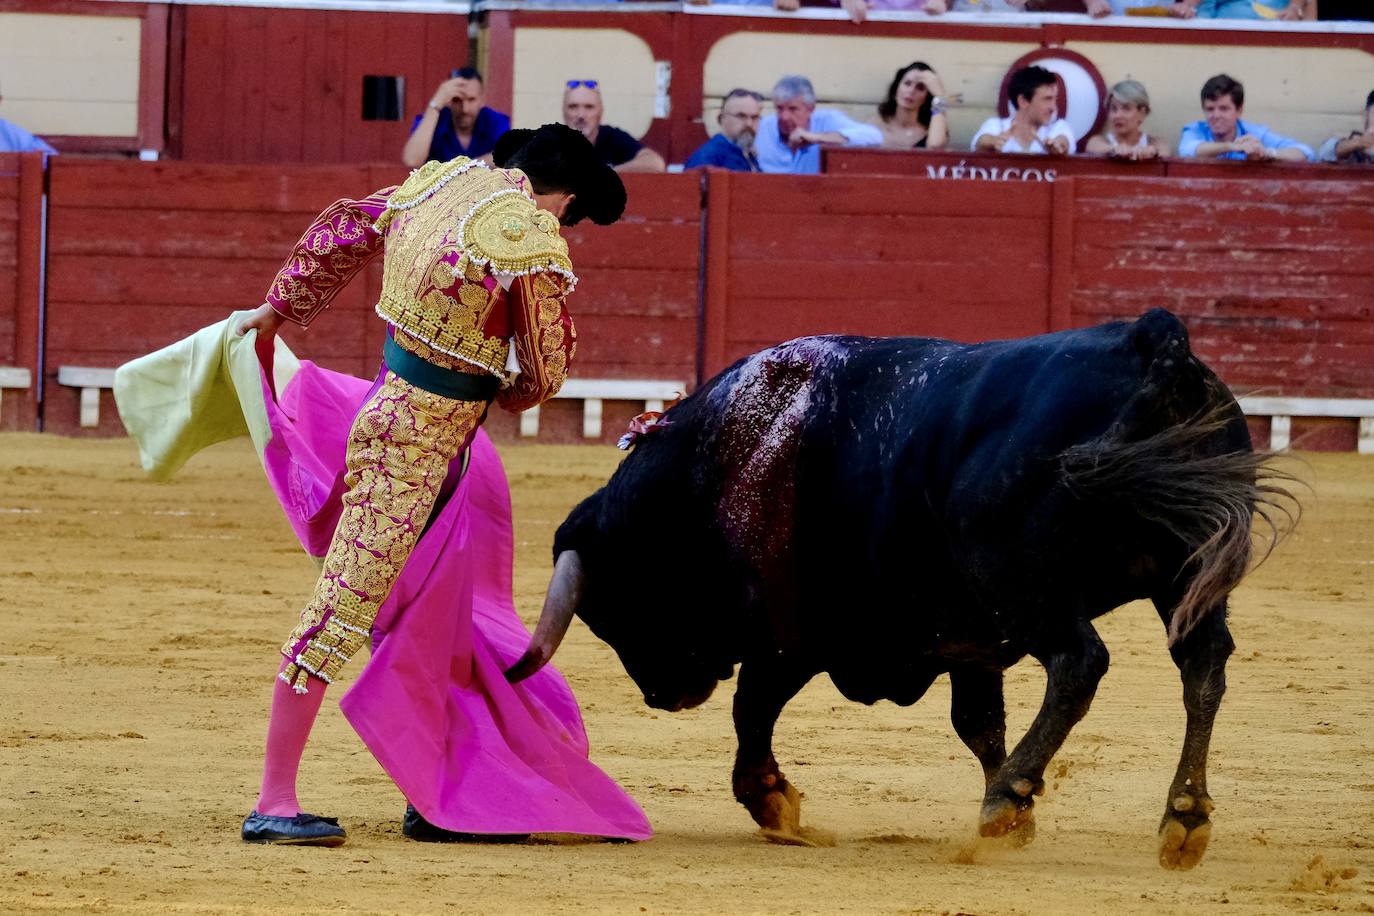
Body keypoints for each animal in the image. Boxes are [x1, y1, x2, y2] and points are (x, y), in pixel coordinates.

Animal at [511, 311, 1291, 873]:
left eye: (616, 608)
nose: (663, 695)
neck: (719, 465)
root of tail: (1148, 339)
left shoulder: (791, 636)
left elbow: (752, 710)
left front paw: (774, 804)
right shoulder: (971, 641)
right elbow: (978, 723)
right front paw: (1022, 817)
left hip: (1025, 582)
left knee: (1081, 663)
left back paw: (1008, 799)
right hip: (1183, 574)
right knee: (1203, 665)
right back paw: (1182, 818)